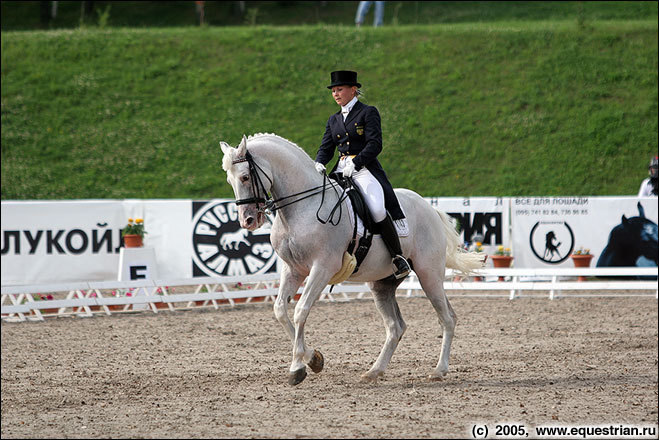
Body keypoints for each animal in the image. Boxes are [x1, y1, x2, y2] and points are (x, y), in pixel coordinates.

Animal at [219, 133, 482, 384]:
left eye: (245, 177)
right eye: (229, 181)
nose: (247, 221)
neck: (302, 208)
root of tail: (430, 207)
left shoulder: (322, 267)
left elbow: (301, 310)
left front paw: (298, 368)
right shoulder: (293, 269)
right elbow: (280, 310)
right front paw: (313, 359)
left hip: (429, 275)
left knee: (447, 319)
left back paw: (439, 370)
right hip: (382, 284)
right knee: (395, 327)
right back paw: (374, 371)